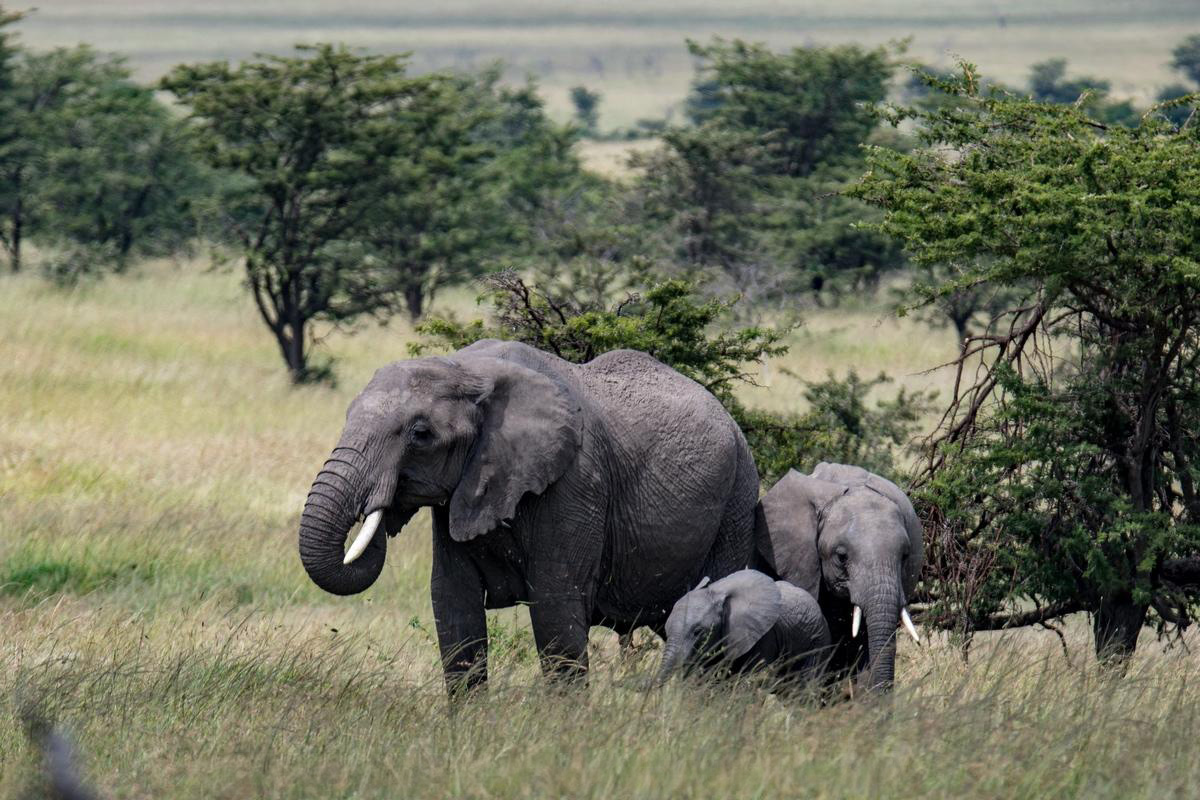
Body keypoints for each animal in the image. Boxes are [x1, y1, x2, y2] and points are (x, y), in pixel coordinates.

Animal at [297, 339, 760, 693]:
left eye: (421, 434)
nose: (380, 501)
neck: (467, 369)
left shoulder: (573, 483)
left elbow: (556, 614)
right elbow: (454, 610)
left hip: (737, 502)